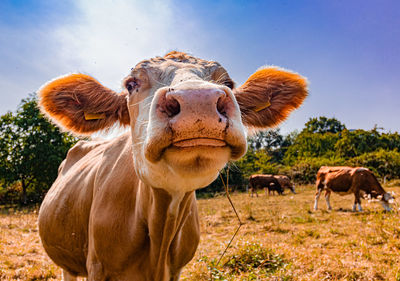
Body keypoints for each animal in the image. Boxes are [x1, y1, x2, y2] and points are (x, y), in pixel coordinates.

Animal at [37, 50, 306, 280]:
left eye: (228, 83)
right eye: (131, 84)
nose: (198, 100)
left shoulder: (176, 269)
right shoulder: (98, 267)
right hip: (68, 264)